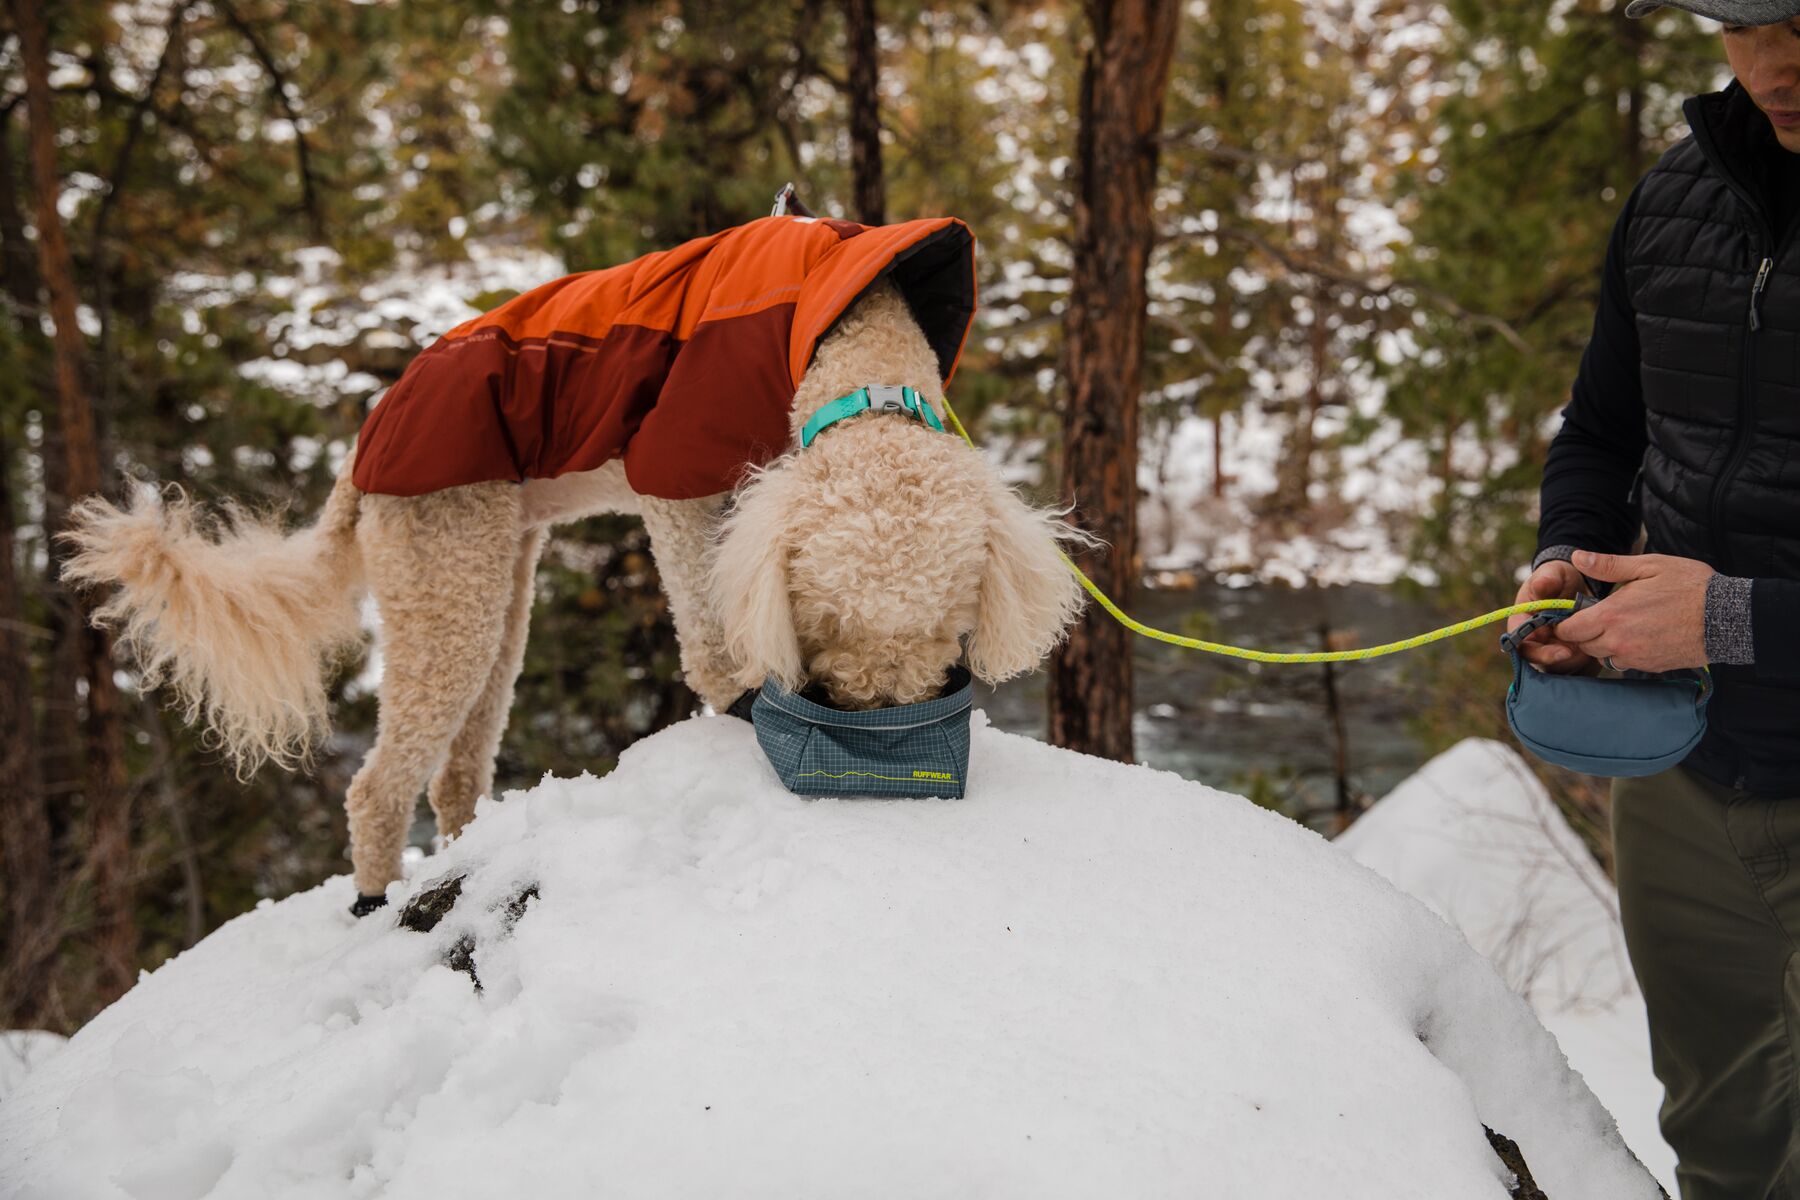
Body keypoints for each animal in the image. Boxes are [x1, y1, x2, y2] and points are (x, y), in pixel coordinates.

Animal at [63, 218, 1087, 910]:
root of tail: (364, 444)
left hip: (494, 584)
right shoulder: (679, 478)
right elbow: (706, 619)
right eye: (826, 624)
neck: (847, 338)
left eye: (947, 627)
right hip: (445, 578)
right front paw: (739, 701)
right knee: (378, 786)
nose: (874, 723)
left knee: (457, 772)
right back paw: (372, 900)